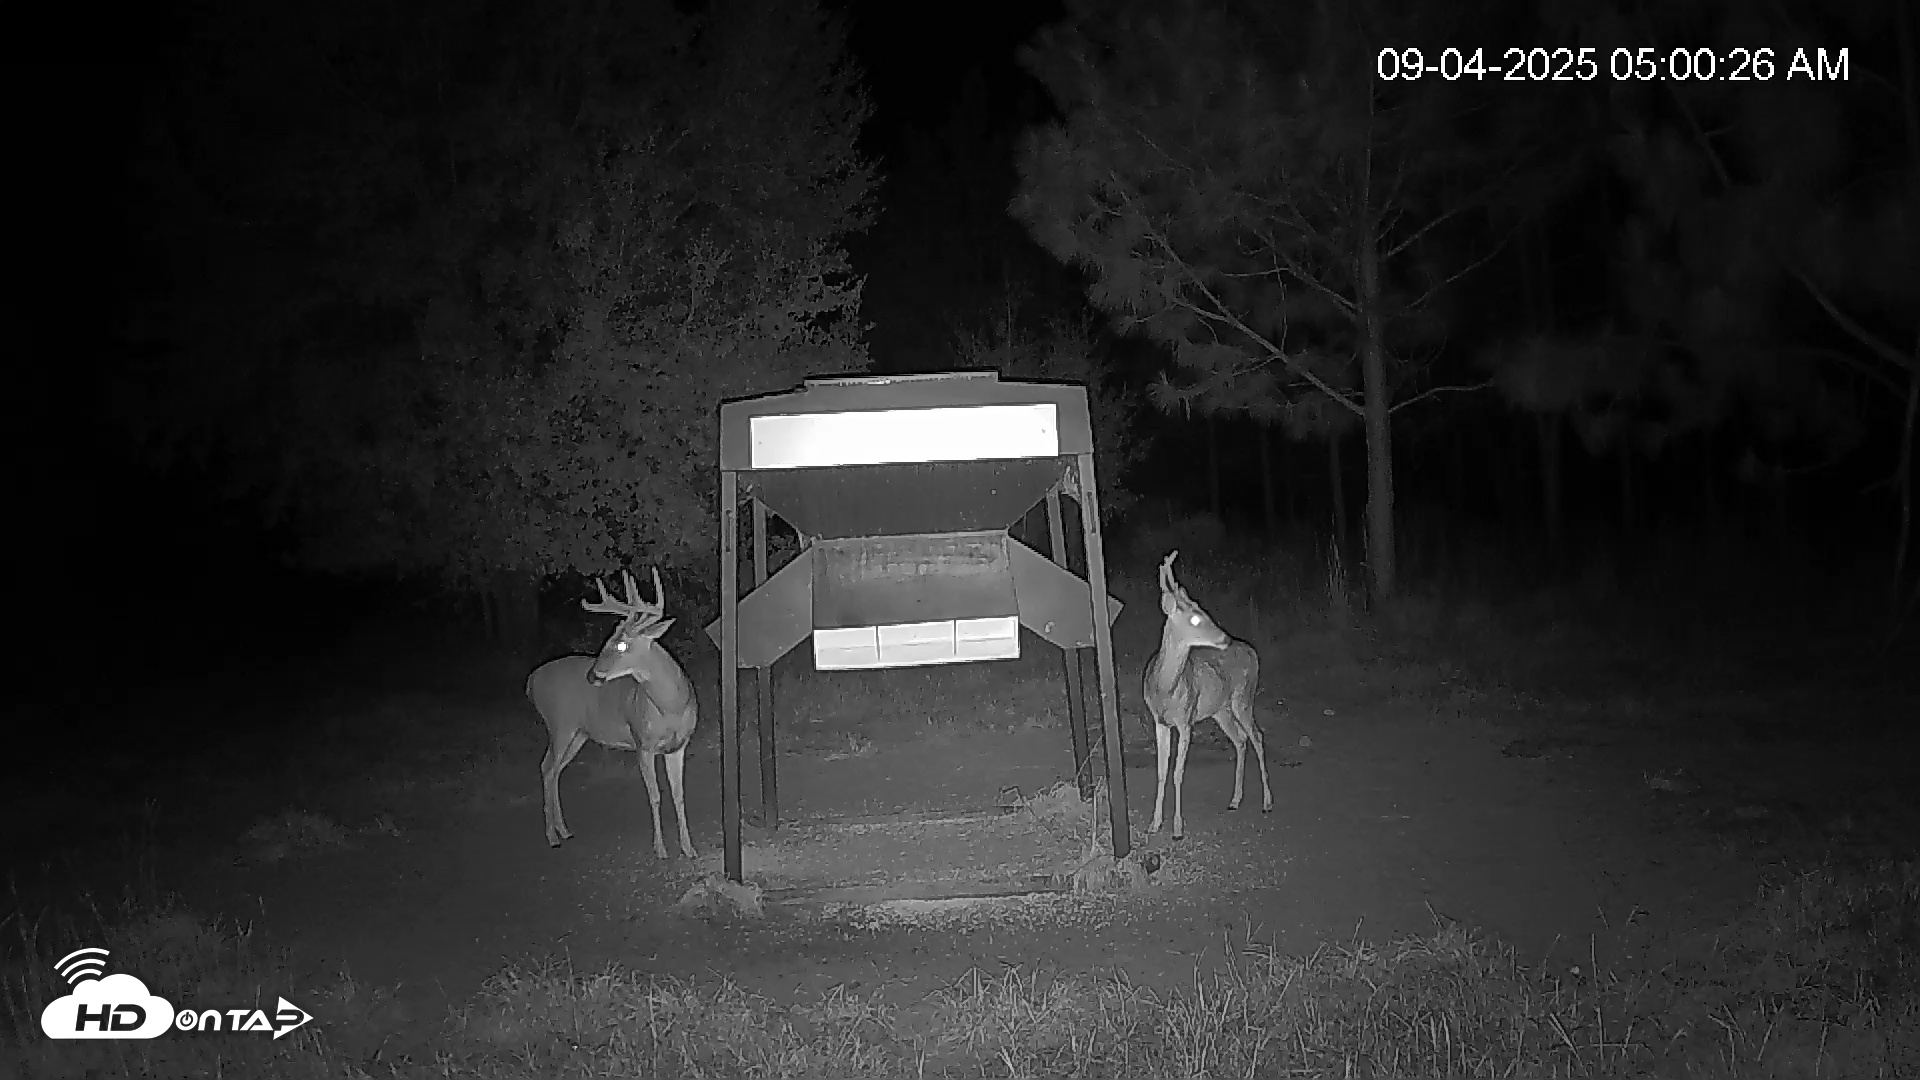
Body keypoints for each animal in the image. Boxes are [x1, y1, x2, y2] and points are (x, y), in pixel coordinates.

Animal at [525, 567, 699, 859]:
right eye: (608, 640)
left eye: (621, 645)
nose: (592, 675)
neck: (671, 708)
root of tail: (531, 681)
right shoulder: (643, 743)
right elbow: (655, 795)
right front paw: (660, 849)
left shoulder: (678, 746)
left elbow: (679, 795)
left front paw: (688, 848)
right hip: (559, 724)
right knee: (546, 766)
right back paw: (552, 836)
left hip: (579, 734)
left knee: (555, 769)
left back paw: (564, 830)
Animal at [1142, 550, 1273, 840]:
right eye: (1194, 618)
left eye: (1203, 610)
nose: (1224, 638)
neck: (1165, 689)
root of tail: (1252, 652)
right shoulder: (1159, 721)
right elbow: (1161, 771)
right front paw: (1154, 824)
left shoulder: (1186, 720)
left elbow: (1178, 772)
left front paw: (1177, 828)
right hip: (1220, 710)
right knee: (1240, 740)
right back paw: (1235, 800)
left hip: (1243, 698)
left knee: (1257, 736)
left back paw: (1267, 802)